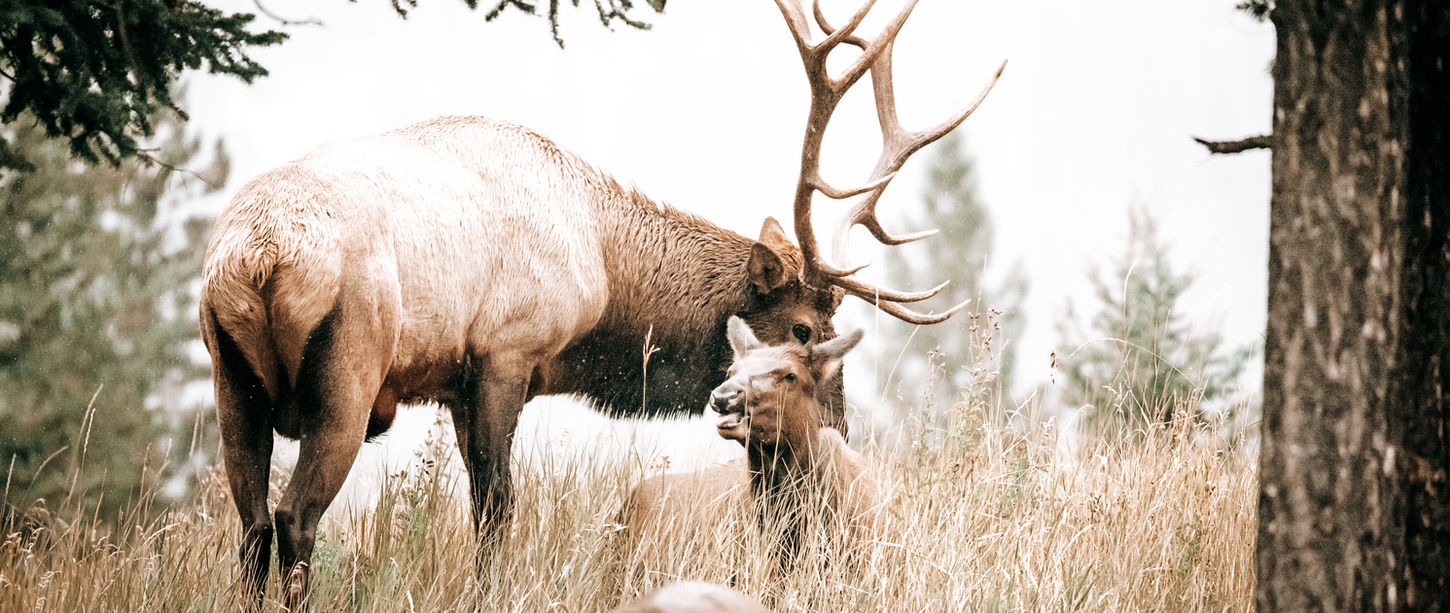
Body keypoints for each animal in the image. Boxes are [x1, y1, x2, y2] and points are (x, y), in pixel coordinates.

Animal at [199, 0, 1002, 605]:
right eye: (805, 329)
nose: (839, 435)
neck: (604, 282)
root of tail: (257, 257)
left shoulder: (458, 383)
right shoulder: (507, 351)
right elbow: (497, 507)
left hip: (229, 374)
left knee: (250, 524)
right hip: (349, 368)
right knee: (295, 517)